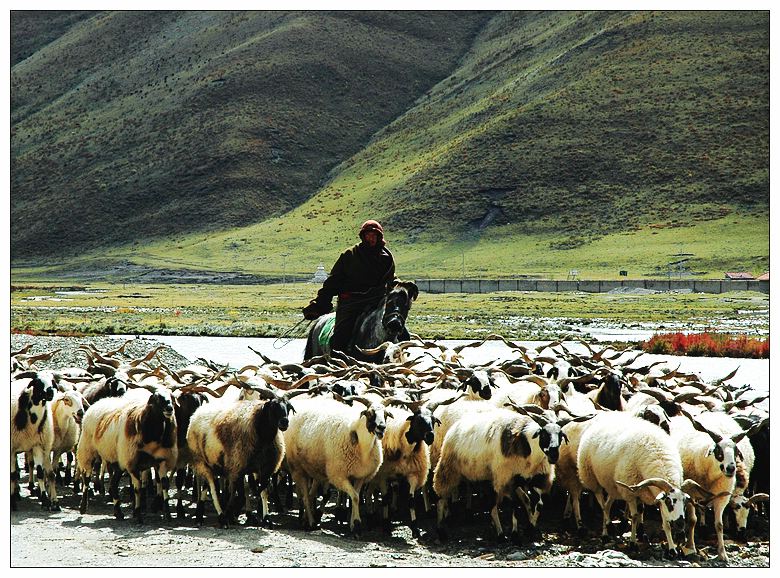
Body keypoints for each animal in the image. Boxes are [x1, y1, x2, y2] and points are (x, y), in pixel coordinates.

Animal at [11, 368, 57, 508]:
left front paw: (45, 499)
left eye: (52, 382)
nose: (50, 392)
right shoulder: (12, 449)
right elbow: (13, 475)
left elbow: (41, 473)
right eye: (38, 382)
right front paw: (13, 500)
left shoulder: (37, 445)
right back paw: (16, 492)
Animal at [76, 382, 178, 520]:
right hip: (88, 450)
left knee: (113, 484)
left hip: (116, 460)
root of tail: (100, 402)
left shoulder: (161, 460)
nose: (169, 408)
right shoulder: (132, 463)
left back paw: (118, 512)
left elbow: (164, 484)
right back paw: (83, 507)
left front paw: (167, 514)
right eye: (157, 397)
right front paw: (138, 514)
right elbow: (137, 488)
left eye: (171, 397)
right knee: (86, 478)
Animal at [186, 384, 302, 524]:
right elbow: (241, 496)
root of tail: (196, 413)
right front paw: (231, 513)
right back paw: (216, 515)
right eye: (273, 405)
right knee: (211, 486)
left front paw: (266, 518)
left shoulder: (264, 468)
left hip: (212, 462)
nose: (284, 422)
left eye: (288, 407)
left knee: (206, 485)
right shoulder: (238, 467)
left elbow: (263, 491)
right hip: (200, 460)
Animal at [282, 392, 394, 536]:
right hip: (297, 469)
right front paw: (357, 525)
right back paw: (311, 522)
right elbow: (355, 497)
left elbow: (356, 497)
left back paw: (308, 519)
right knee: (305, 497)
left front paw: (353, 524)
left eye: (386, 414)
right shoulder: (338, 476)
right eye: (369, 413)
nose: (382, 428)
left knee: (311, 495)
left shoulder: (360, 477)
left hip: (314, 470)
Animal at [572, 408, 708, 556]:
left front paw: (671, 550)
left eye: (685, 502)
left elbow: (665, 523)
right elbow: (635, 516)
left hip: (613, 485)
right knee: (601, 503)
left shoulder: (653, 495)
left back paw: (607, 532)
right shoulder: (630, 493)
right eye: (669, 502)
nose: (680, 524)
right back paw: (607, 529)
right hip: (591, 477)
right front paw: (633, 543)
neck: (659, 456)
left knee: (607, 505)